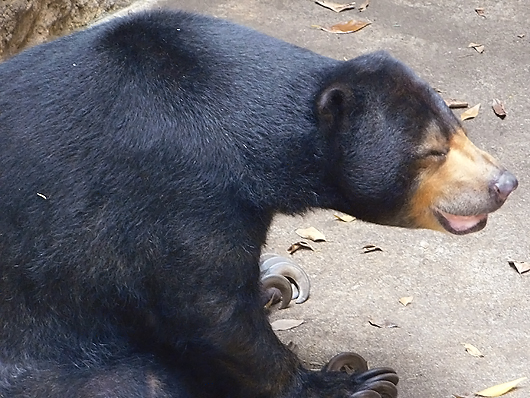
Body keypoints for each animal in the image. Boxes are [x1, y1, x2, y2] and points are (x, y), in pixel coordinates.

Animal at [0, 7, 512, 396]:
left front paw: (273, 280)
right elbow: (210, 308)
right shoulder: (179, 190)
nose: (505, 183)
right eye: (432, 151)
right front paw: (352, 382)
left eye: (459, 128)